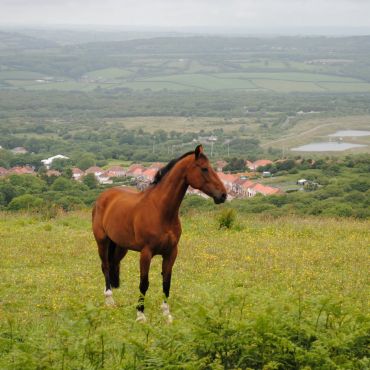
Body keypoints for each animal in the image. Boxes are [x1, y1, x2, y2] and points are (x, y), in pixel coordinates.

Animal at [91, 145, 227, 320]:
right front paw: (140, 315)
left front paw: (167, 315)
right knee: (105, 266)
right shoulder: (146, 253)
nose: (223, 195)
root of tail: (103, 196)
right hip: (102, 241)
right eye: (204, 169)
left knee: (113, 264)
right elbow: (144, 283)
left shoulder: (171, 253)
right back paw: (109, 300)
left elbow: (166, 283)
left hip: (121, 246)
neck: (161, 211)